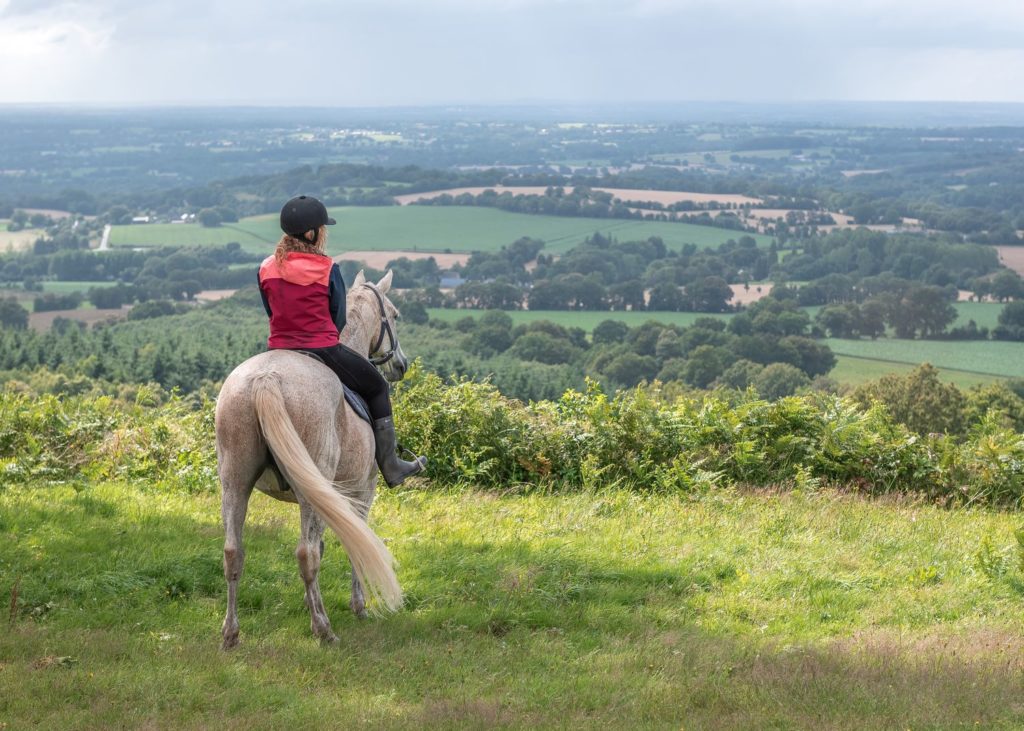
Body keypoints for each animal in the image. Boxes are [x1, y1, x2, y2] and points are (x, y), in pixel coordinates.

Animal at [215, 268, 407, 642]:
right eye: (393, 315)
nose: (401, 365)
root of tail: (266, 378)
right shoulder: (361, 492)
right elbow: (353, 541)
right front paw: (358, 606)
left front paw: (310, 602)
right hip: (313, 488)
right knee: (306, 554)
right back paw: (323, 628)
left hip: (235, 482)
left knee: (233, 552)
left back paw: (231, 634)